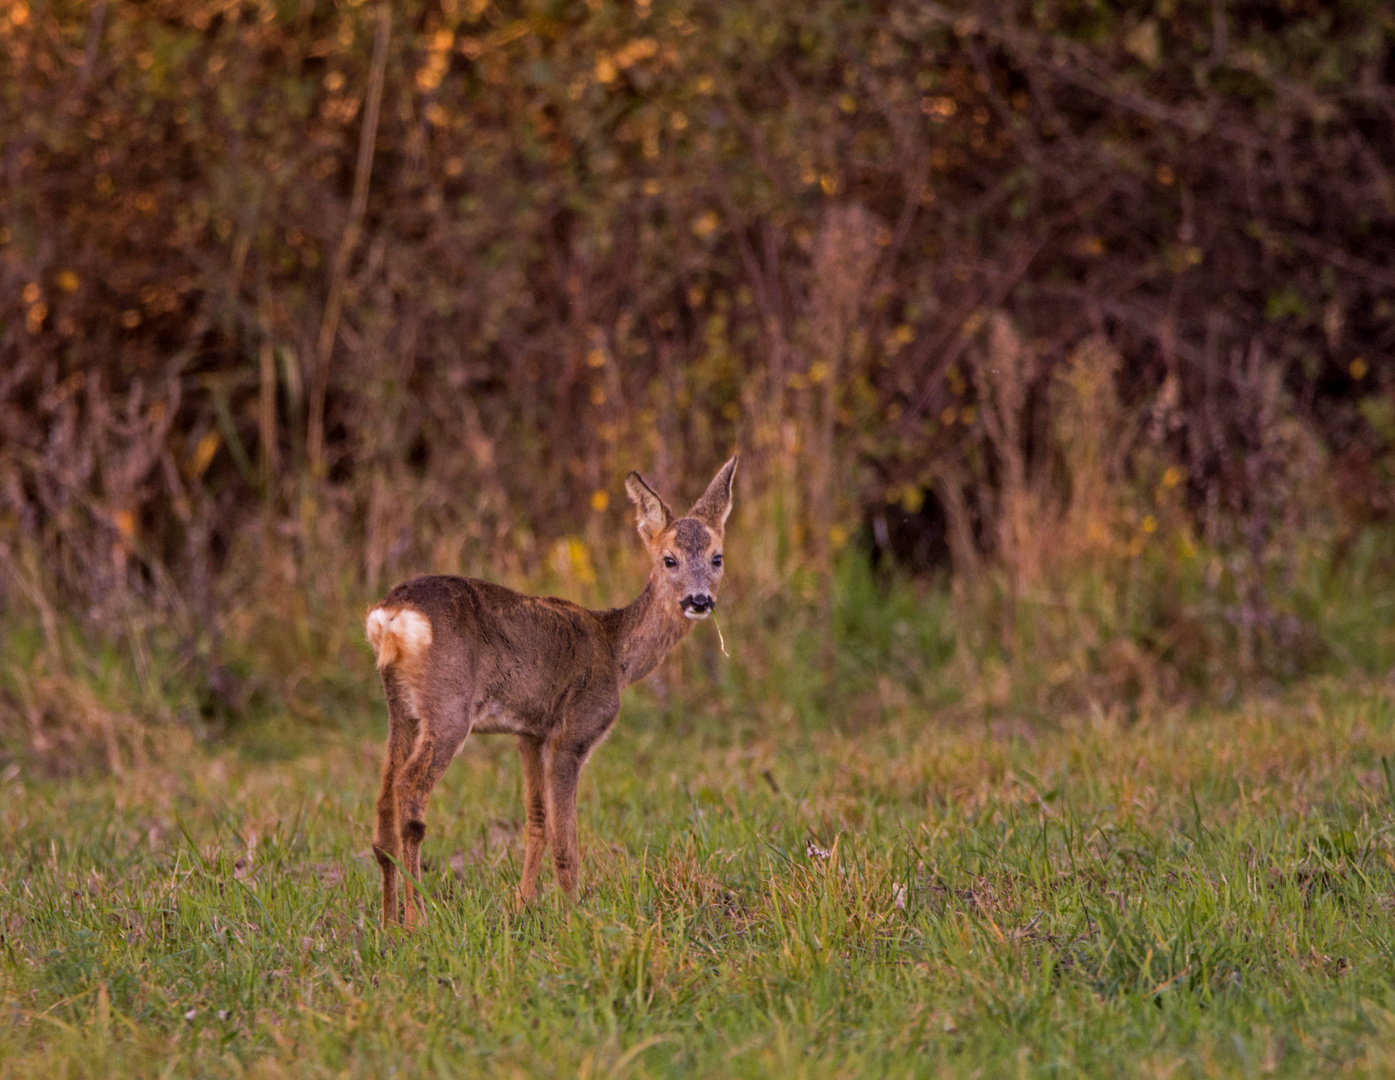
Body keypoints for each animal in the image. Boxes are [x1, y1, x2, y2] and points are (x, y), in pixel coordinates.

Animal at [368, 457, 742, 932]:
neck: (616, 653)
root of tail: (390, 616)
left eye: (717, 557)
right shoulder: (574, 731)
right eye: (669, 559)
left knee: (384, 799)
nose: (699, 600)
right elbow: (567, 840)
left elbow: (537, 819)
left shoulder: (530, 732)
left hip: (400, 708)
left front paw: (522, 905)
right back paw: (417, 919)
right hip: (447, 705)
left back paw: (387, 922)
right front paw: (575, 918)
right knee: (411, 789)